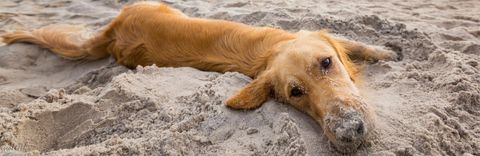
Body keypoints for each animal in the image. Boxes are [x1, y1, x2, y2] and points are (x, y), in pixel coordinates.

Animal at [0, 0, 398, 152]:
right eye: (296, 93)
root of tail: (113, 29)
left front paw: (385, 51)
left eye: (327, 63)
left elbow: (353, 42)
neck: (271, 51)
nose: (349, 133)